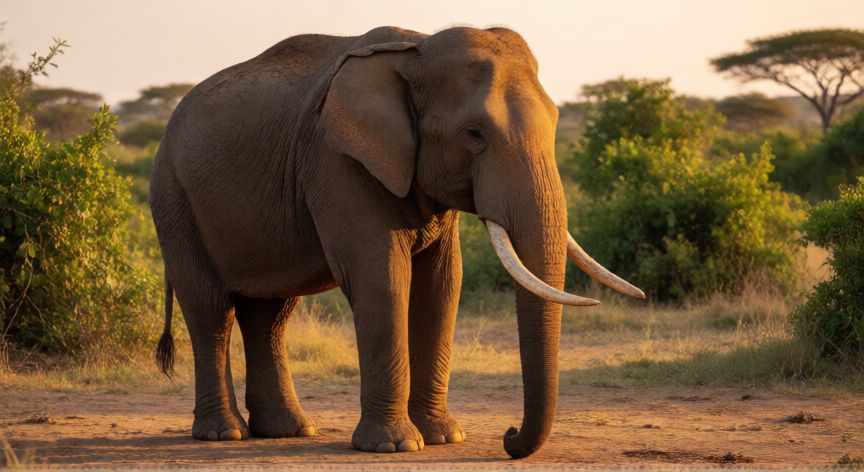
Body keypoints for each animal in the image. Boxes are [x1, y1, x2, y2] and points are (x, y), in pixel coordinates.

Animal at [150, 25, 644, 459]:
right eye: (474, 134)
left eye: (558, 120)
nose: (508, 437)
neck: (416, 49)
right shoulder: (338, 160)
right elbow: (381, 279)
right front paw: (395, 446)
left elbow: (441, 285)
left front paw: (444, 438)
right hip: (174, 198)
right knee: (211, 309)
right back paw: (224, 434)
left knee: (270, 314)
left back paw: (288, 431)